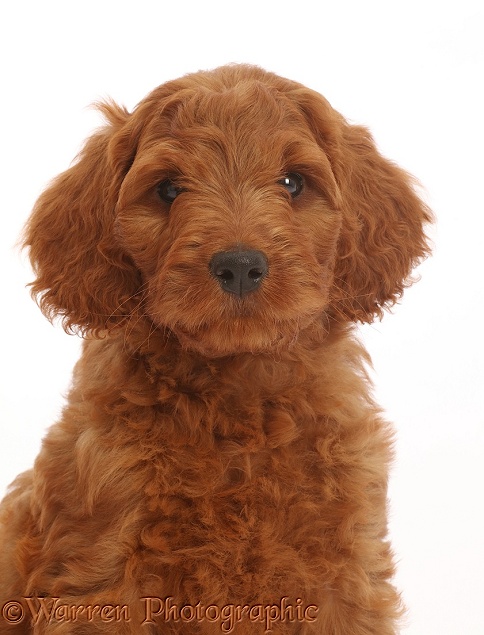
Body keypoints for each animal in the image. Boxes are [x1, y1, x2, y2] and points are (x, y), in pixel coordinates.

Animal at [0, 67, 432, 632]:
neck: (240, 398)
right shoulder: (104, 577)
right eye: (167, 189)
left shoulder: (344, 573)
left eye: (293, 182)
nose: (241, 265)